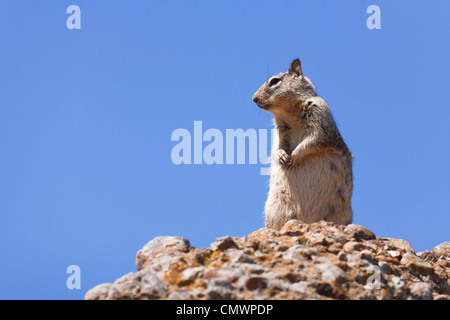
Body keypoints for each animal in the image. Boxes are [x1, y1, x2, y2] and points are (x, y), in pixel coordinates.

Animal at [251, 58, 354, 229]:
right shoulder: (280, 131)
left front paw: (294, 157)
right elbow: (278, 147)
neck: (288, 112)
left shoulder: (320, 120)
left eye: (274, 81)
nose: (253, 99)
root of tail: (309, 220)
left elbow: (312, 141)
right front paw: (282, 156)